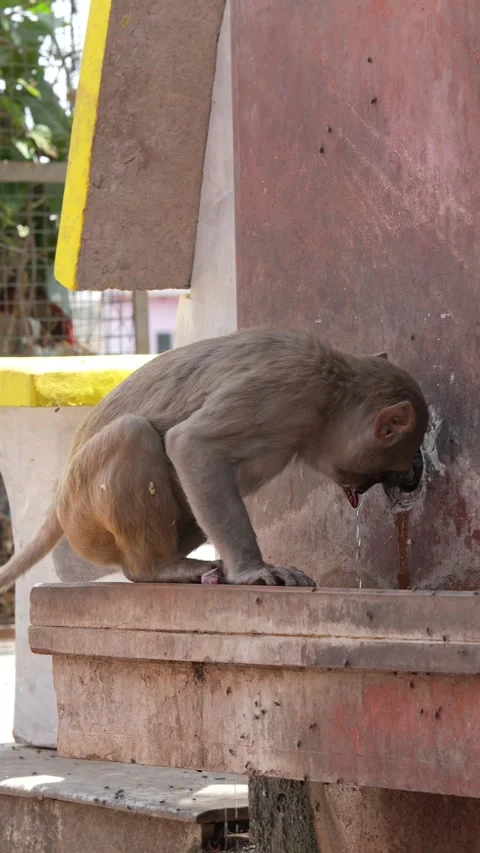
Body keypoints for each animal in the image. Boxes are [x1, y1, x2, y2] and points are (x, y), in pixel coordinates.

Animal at [0, 328, 428, 592]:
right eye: (396, 459)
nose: (409, 475)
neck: (332, 394)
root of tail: (58, 496)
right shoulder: (290, 394)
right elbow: (193, 445)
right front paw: (255, 571)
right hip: (83, 516)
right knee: (132, 435)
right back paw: (157, 568)